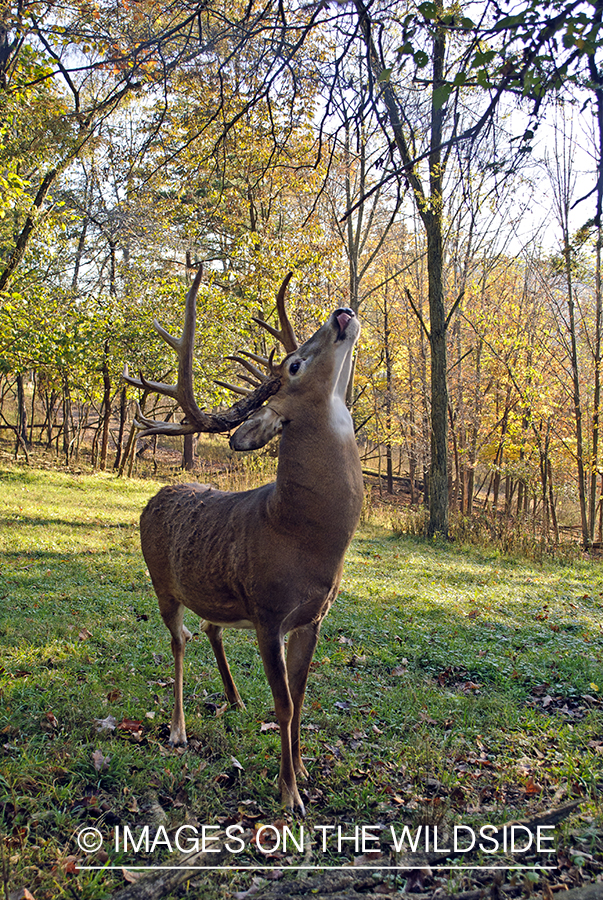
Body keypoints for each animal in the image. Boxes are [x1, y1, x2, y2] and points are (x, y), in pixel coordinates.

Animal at [124, 268, 364, 816]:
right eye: (295, 364)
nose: (342, 312)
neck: (300, 534)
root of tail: (155, 494)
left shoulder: (311, 617)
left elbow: (301, 697)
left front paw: (301, 770)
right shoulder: (269, 612)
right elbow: (284, 703)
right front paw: (289, 793)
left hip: (216, 592)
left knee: (209, 627)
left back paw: (233, 699)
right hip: (162, 582)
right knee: (179, 640)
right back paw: (178, 729)